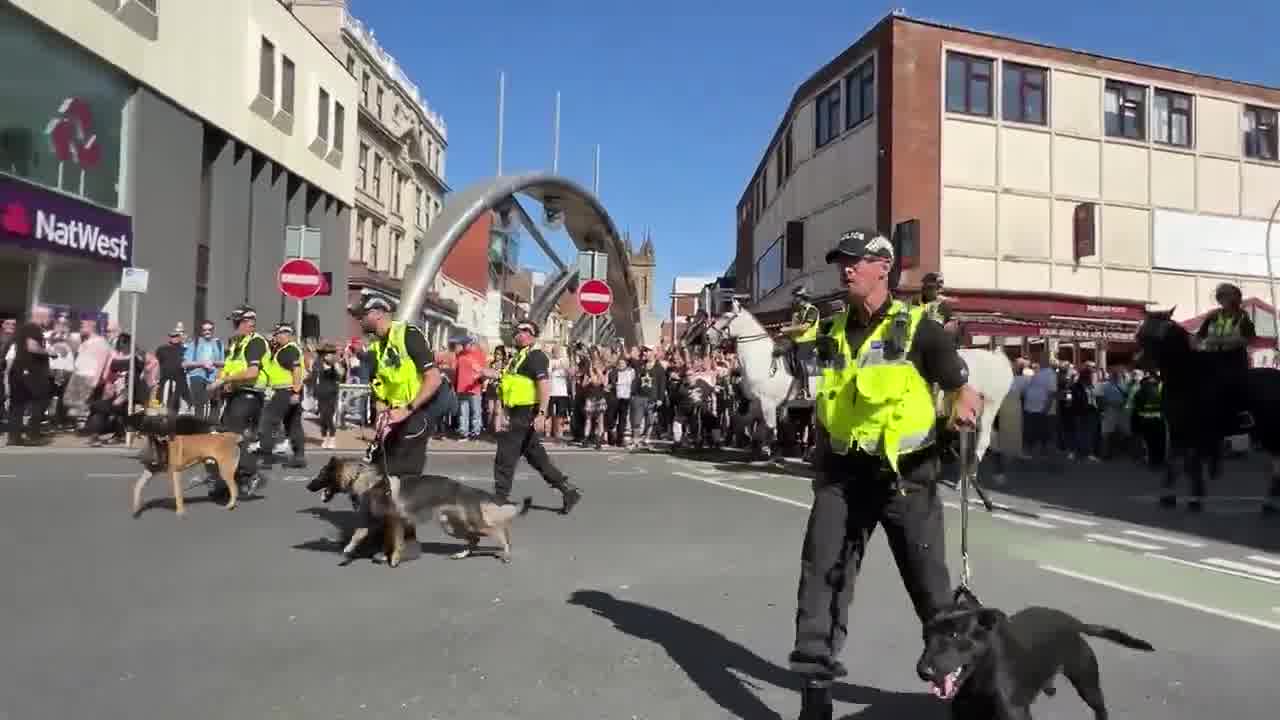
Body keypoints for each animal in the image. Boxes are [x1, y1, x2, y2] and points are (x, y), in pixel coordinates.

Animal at [304, 453, 529, 566]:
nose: (307, 486)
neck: (363, 480)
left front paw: (394, 560)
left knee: (500, 530)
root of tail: (469, 489)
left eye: (321, 474)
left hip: (472, 524)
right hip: (452, 527)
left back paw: (506, 553)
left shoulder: (394, 521)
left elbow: (396, 543)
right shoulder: (375, 522)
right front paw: (350, 550)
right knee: (474, 540)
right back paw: (461, 555)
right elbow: (358, 535)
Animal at [706, 301, 1013, 458]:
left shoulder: (769, 403)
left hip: (988, 406)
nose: (707, 337)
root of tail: (998, 358)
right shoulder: (756, 403)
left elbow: (767, 428)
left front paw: (767, 451)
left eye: (724, 316)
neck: (763, 359)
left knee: (983, 440)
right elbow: (744, 422)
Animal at [916, 594, 1157, 717]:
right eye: (925, 635)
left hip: (1088, 684)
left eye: (954, 634)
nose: (922, 671)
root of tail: (1072, 622)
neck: (979, 682)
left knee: (1101, 709)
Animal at [1141, 308, 1280, 509]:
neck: (1187, 377)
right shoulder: (1177, 428)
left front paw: (1195, 497)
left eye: (1159, 336)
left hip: (1270, 430)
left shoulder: (1197, 430)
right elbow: (1175, 460)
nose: (1141, 363)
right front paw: (1168, 494)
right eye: (1142, 335)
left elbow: (1192, 462)